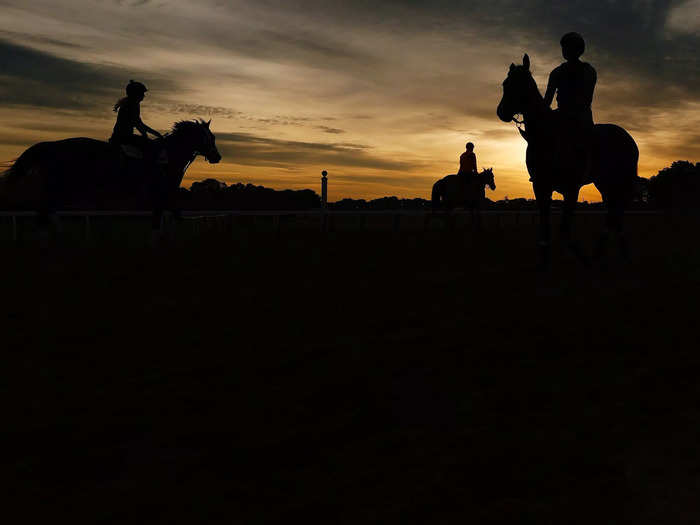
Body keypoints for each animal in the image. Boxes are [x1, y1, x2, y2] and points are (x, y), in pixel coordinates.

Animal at [0, 119, 221, 236]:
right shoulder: (162, 192)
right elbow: (171, 215)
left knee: (45, 211)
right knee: (46, 211)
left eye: (213, 137)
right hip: (61, 186)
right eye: (207, 137)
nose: (217, 157)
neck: (169, 154)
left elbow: (166, 216)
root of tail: (51, 146)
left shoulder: (163, 195)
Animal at [494, 53, 636, 268]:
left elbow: (564, 230)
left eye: (523, 84)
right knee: (613, 214)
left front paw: (583, 259)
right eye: (506, 83)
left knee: (615, 214)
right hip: (604, 184)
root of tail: (628, 138)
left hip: (618, 181)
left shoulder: (571, 188)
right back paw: (606, 253)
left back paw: (609, 254)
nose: (502, 112)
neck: (547, 137)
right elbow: (545, 228)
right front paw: (544, 263)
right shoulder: (541, 186)